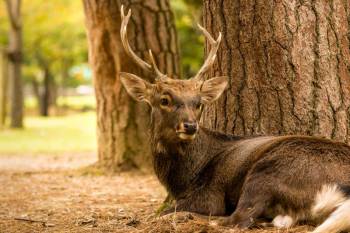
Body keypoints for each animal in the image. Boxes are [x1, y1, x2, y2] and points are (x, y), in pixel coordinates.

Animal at [118, 5, 350, 233]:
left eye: (198, 103)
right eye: (164, 100)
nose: (190, 126)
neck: (184, 178)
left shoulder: (209, 194)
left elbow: (168, 211)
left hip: (270, 171)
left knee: (238, 219)